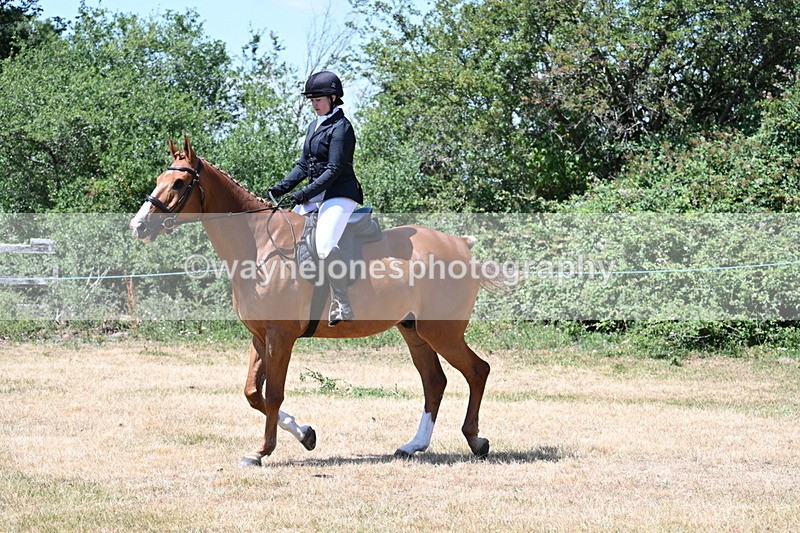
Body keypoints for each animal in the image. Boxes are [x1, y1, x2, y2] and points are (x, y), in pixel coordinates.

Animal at [129, 136, 493, 466]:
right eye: (159, 180)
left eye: (179, 183)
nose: (139, 226)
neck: (258, 245)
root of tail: (461, 245)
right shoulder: (260, 336)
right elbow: (253, 393)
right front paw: (305, 434)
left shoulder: (280, 336)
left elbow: (273, 394)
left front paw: (261, 452)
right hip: (414, 330)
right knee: (434, 381)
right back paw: (413, 445)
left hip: (441, 331)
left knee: (477, 370)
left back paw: (476, 440)